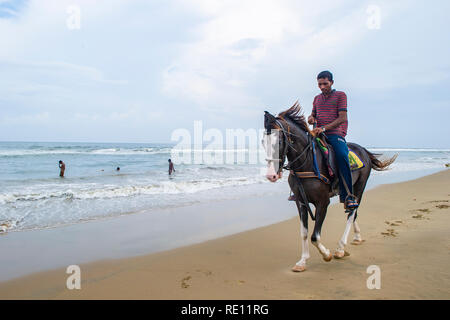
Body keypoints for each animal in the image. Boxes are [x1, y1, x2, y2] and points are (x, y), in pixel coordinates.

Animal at [262, 102, 396, 272]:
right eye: (262, 142)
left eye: (279, 142)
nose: (271, 175)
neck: (307, 163)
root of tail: (363, 150)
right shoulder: (301, 202)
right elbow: (304, 233)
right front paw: (302, 262)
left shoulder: (323, 203)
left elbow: (314, 236)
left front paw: (326, 254)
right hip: (347, 191)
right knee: (353, 212)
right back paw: (357, 237)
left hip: (360, 186)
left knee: (351, 213)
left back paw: (340, 249)